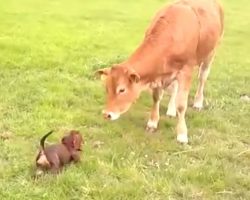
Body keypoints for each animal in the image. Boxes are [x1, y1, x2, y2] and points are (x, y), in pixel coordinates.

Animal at [94, 0, 224, 144]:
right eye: (107, 88)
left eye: (122, 90)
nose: (107, 114)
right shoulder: (158, 73)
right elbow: (156, 97)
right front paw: (152, 122)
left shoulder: (186, 70)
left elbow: (181, 105)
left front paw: (182, 135)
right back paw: (171, 110)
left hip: (210, 53)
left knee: (202, 78)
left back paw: (197, 103)